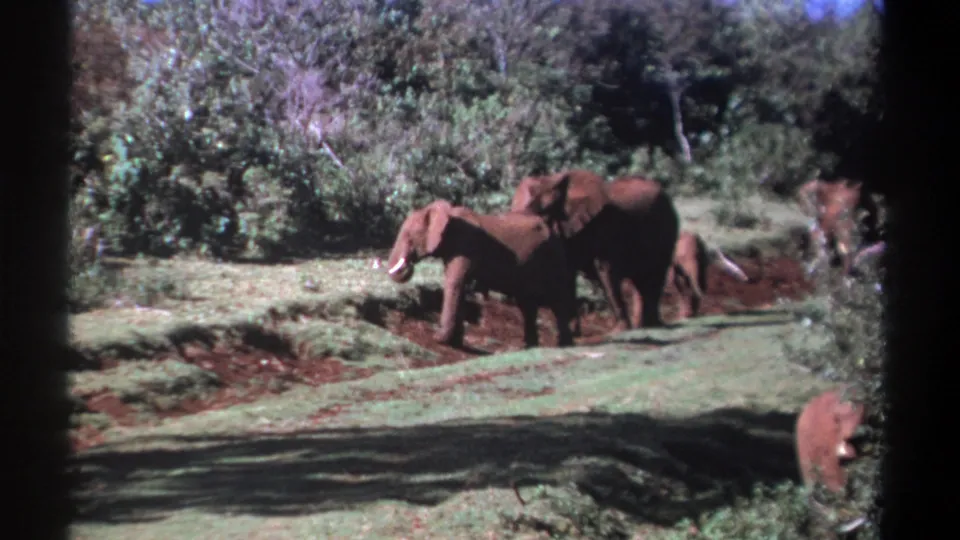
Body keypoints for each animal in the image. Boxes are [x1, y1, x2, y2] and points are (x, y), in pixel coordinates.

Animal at [384, 200, 577, 349]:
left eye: (409, 236)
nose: (407, 265)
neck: (447, 214)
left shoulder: (466, 244)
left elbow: (455, 282)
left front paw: (439, 339)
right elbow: (459, 287)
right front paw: (455, 342)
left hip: (553, 255)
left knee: (557, 299)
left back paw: (564, 346)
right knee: (527, 303)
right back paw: (530, 347)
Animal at [510, 169, 680, 330]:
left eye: (546, 209)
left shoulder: (603, 226)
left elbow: (605, 271)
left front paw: (619, 330)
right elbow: (567, 274)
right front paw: (574, 332)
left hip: (667, 226)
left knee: (655, 275)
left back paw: (652, 325)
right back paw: (645, 325)